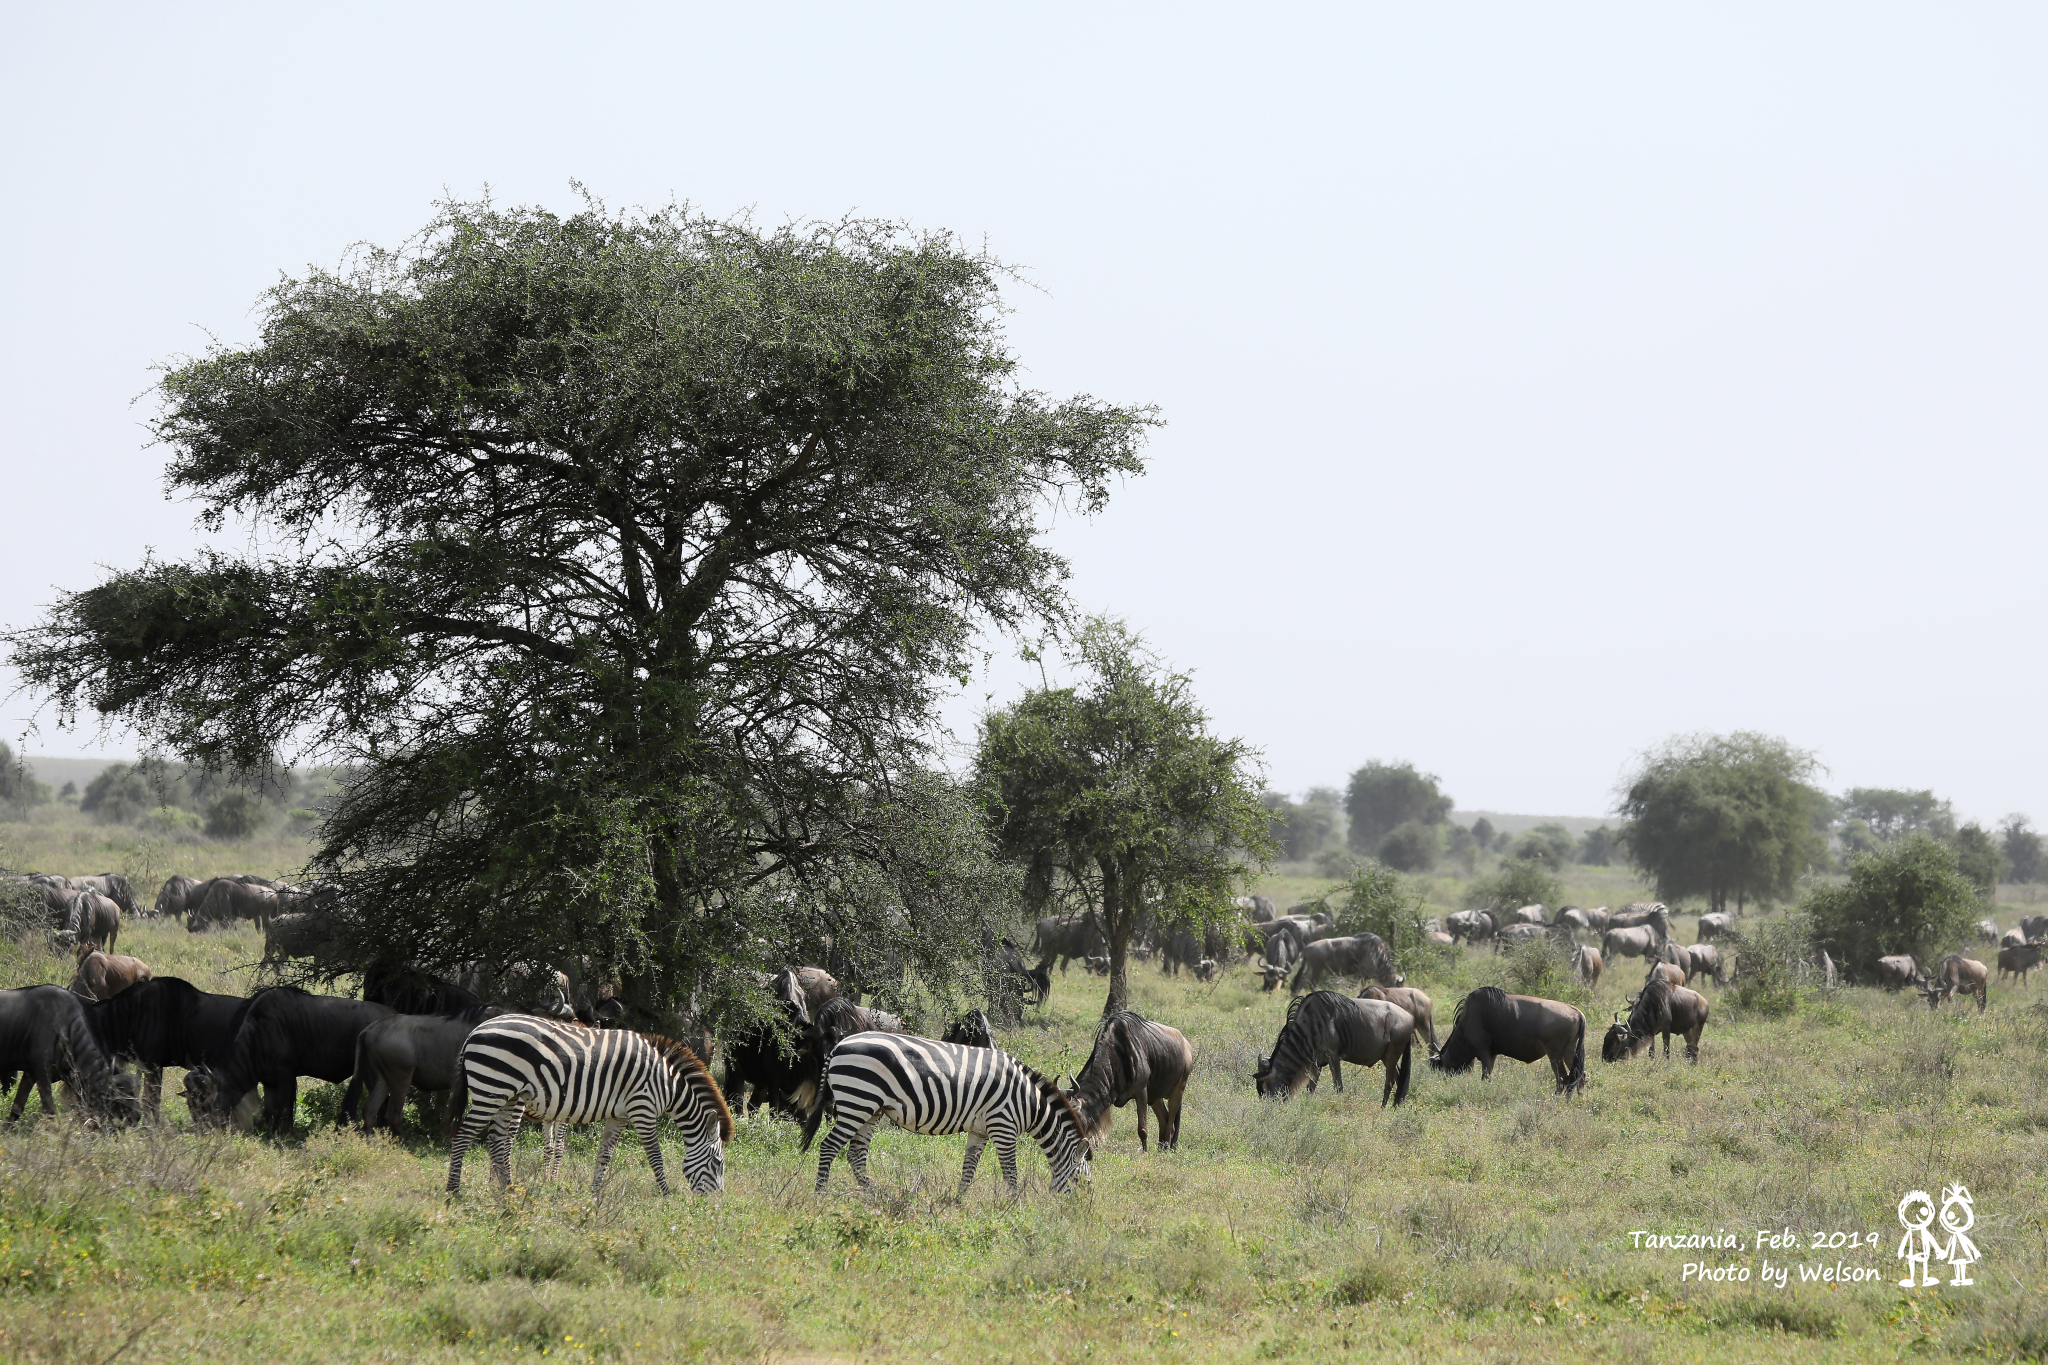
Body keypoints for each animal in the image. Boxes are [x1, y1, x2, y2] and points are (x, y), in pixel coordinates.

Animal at [450, 1015, 737, 1195]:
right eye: (717, 1163)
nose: (715, 1203)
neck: (665, 1083)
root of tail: (475, 1031)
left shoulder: (619, 1115)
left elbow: (604, 1155)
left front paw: (594, 1195)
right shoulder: (642, 1109)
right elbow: (655, 1157)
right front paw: (666, 1196)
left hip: (507, 1096)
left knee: (496, 1143)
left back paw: (506, 1191)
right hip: (492, 1089)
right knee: (464, 1136)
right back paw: (454, 1192)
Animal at [794, 1035, 1089, 1195]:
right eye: (1082, 1180)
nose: (1076, 1213)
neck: (1028, 1102)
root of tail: (838, 1045)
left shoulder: (980, 1130)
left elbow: (969, 1169)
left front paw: (958, 1203)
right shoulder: (1003, 1126)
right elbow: (1010, 1172)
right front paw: (1014, 1206)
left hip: (871, 1108)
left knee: (856, 1154)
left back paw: (872, 1194)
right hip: (857, 1101)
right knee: (829, 1146)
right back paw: (821, 1194)